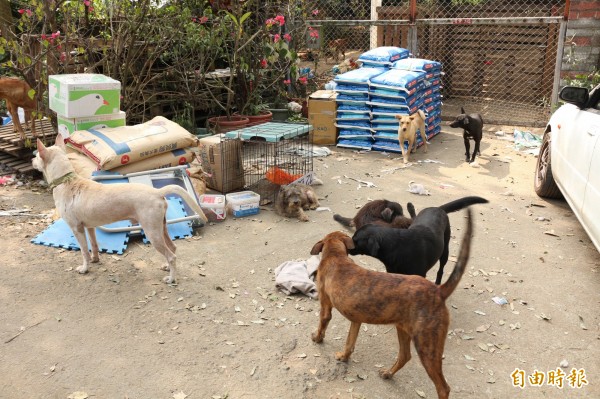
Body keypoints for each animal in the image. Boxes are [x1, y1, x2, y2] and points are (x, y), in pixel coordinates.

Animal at [34, 137, 211, 284]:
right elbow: (94, 245)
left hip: (152, 232)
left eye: (36, 156)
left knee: (171, 255)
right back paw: (167, 267)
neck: (66, 181)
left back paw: (171, 278)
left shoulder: (77, 228)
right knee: (173, 249)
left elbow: (84, 251)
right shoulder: (89, 227)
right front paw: (95, 260)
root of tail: (157, 192)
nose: (31, 158)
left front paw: (84, 268)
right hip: (161, 228)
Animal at [310, 209, 474, 399]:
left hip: (427, 346)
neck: (336, 256)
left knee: (443, 387)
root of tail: (438, 291)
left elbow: (322, 325)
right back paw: (388, 373)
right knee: (405, 356)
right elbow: (349, 344)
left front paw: (317, 338)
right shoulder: (356, 320)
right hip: (403, 330)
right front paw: (344, 357)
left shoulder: (326, 307)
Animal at [350, 196, 486, 284]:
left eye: (355, 240)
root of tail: (437, 208)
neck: (397, 247)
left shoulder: (419, 275)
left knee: (441, 269)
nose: (347, 248)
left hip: (444, 252)